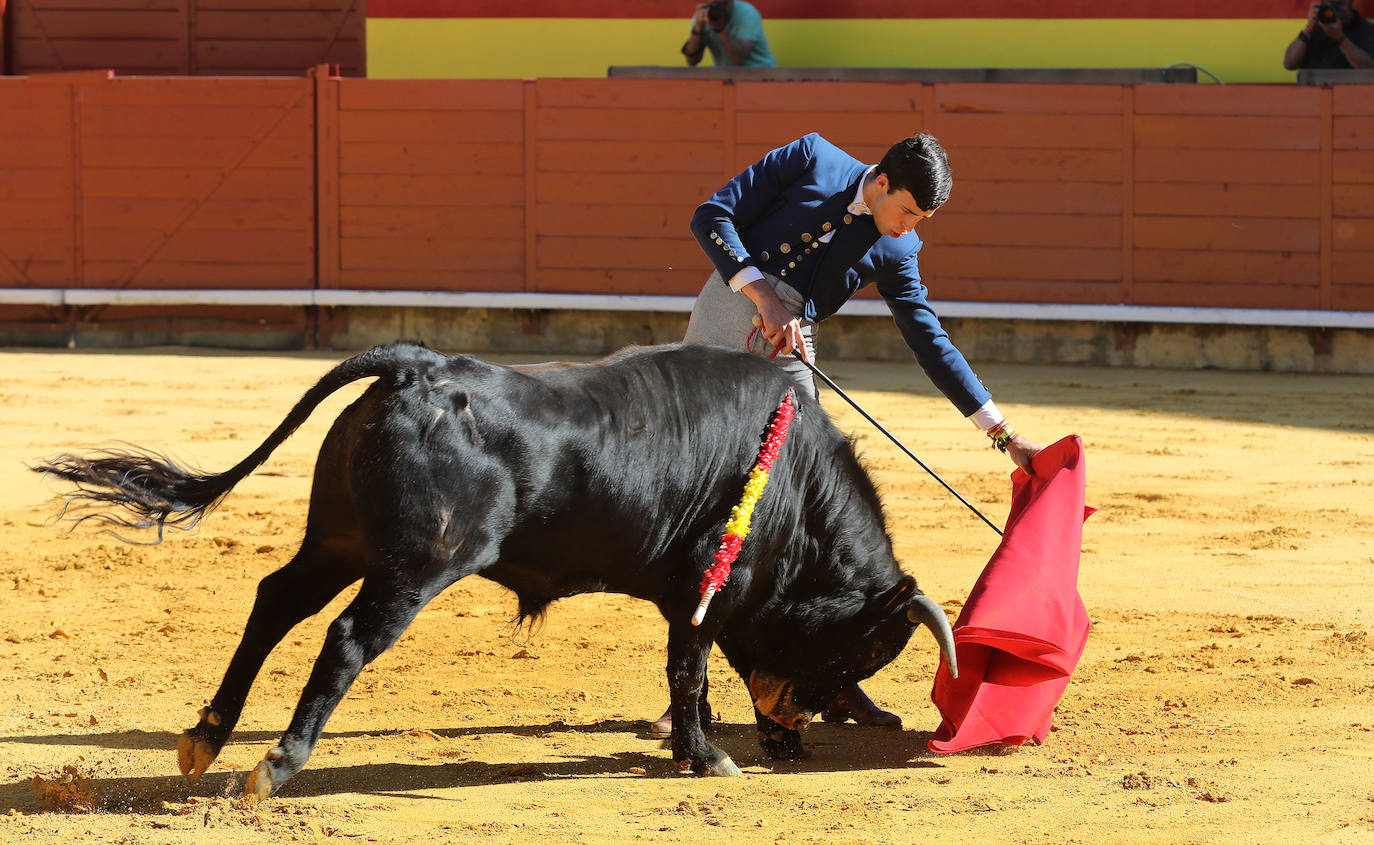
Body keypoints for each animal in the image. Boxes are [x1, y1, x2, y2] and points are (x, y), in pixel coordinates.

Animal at [32, 340, 956, 796]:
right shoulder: (712, 586)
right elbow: (692, 668)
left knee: (275, 601)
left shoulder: (698, 598)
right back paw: (277, 764)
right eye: (862, 650)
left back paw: (206, 737)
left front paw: (713, 746)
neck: (793, 478)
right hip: (417, 563)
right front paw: (708, 758)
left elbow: (694, 669)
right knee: (344, 638)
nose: (804, 728)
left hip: (340, 541)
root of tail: (414, 366)